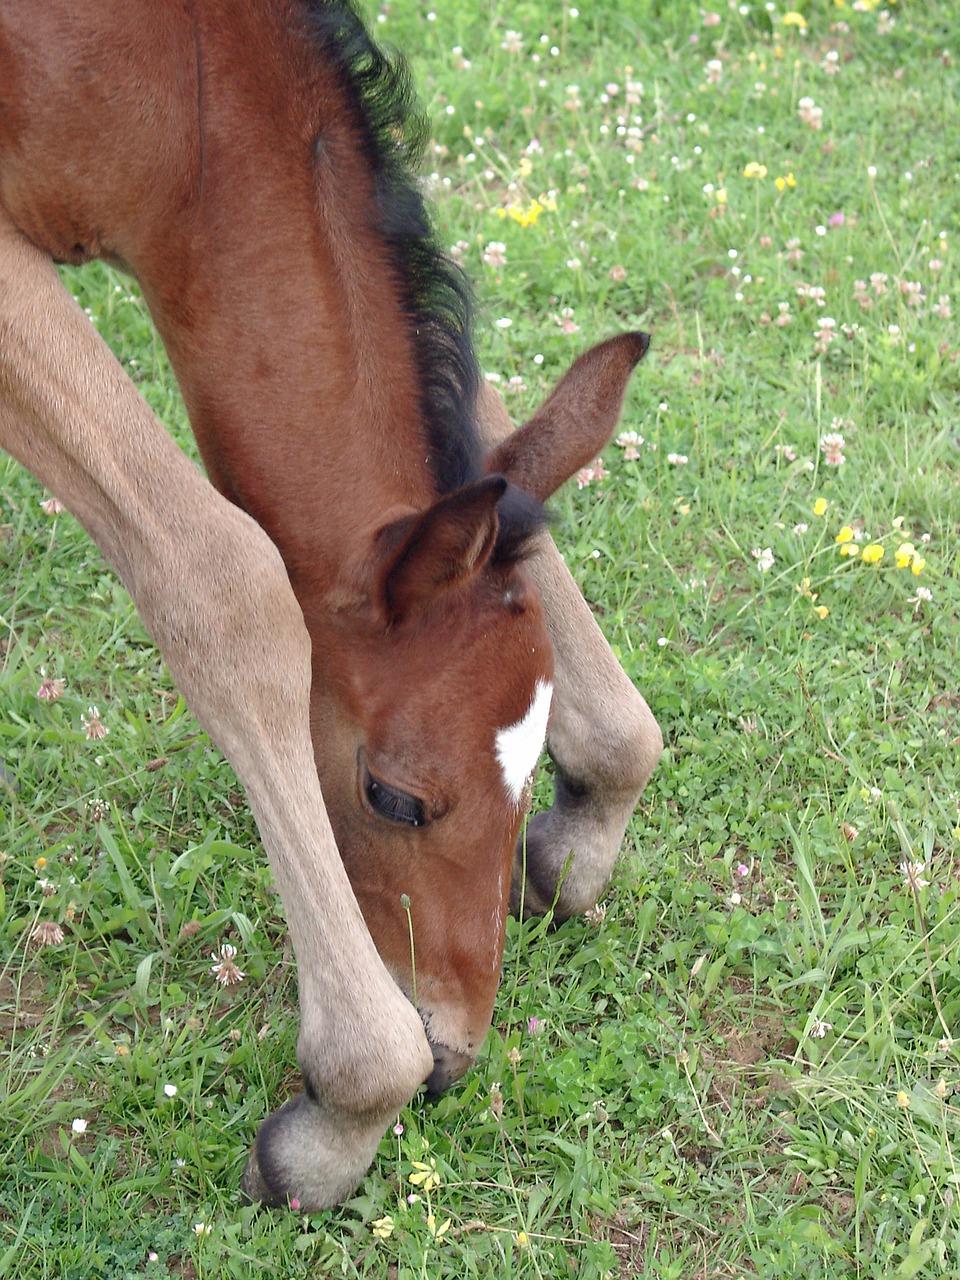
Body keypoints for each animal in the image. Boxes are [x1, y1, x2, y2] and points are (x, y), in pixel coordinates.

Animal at [0, 0, 660, 1203]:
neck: (172, 85)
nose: (454, 1051)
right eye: (394, 797)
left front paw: (594, 810)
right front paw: (351, 1104)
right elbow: (222, 583)